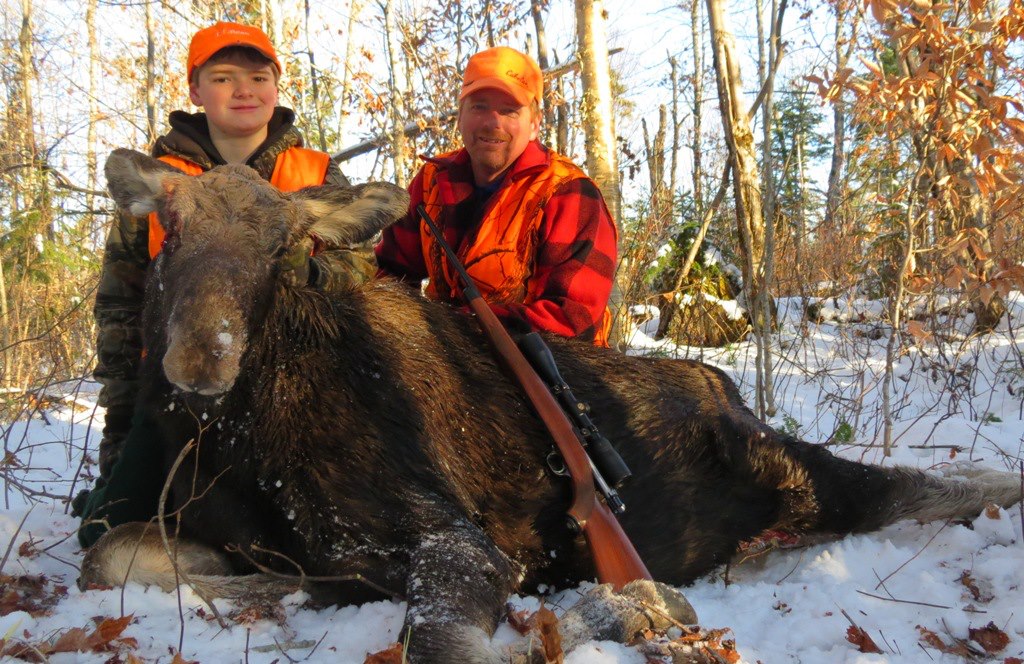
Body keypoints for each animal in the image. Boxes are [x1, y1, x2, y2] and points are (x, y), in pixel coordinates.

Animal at [81, 147, 1024, 659]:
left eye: (285, 245)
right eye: (168, 226)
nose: (201, 356)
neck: (245, 440)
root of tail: (722, 385)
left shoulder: (455, 536)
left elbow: (441, 639)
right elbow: (117, 560)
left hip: (785, 465)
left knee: (908, 487)